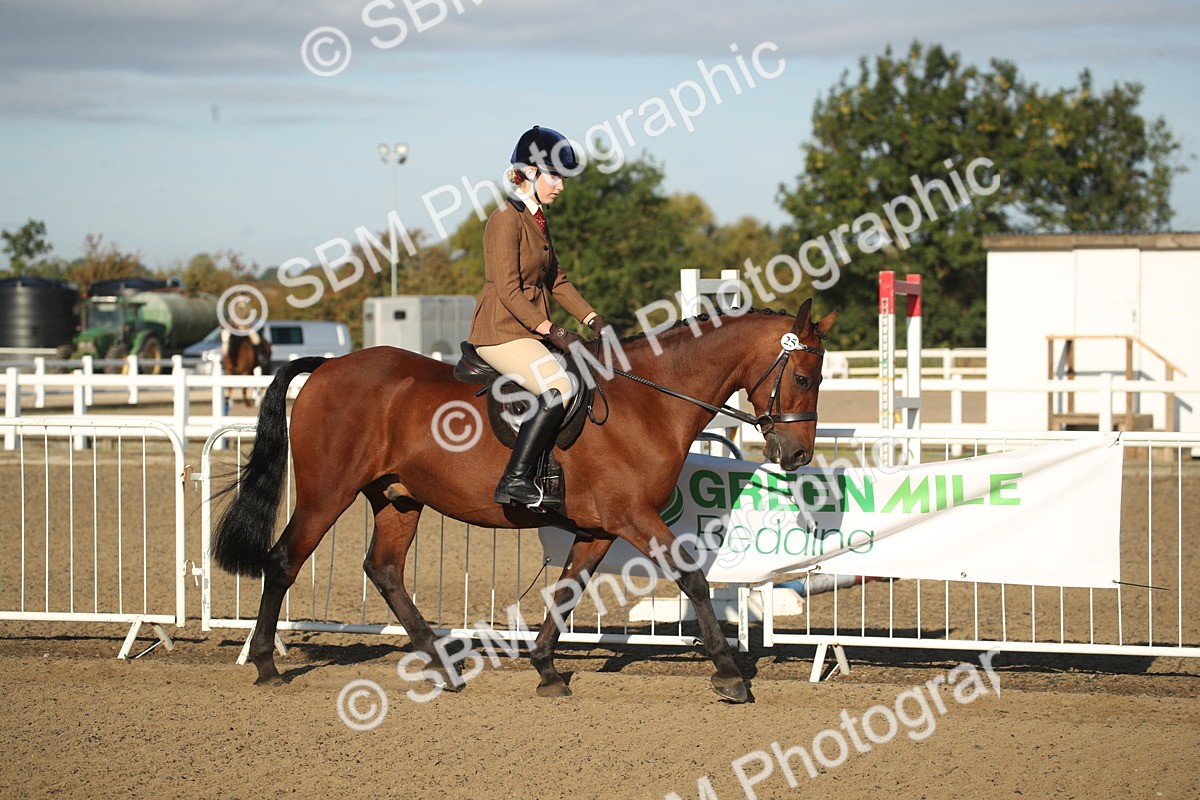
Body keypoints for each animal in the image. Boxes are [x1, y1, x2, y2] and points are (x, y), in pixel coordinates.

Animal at [212, 299, 836, 703]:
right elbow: (694, 579)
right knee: (284, 561)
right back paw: (266, 664)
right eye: (805, 378)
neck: (648, 402)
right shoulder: (633, 517)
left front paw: (547, 671)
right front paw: (730, 675)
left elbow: (566, 593)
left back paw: (443, 666)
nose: (798, 454)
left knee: (384, 569)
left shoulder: (599, 527)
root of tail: (329, 367)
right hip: (327, 493)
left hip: (398, 499)